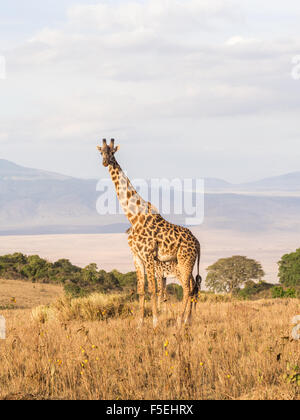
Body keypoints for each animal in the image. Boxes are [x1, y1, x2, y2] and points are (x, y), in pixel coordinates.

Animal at [98, 139, 202, 328]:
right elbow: (141, 290)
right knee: (191, 288)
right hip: (184, 262)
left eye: (112, 152)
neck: (134, 217)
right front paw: (140, 323)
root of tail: (197, 243)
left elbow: (153, 290)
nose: (105, 162)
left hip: (185, 261)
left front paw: (155, 321)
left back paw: (180, 321)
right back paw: (187, 320)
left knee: (187, 289)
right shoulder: (136, 256)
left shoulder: (148, 255)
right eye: (101, 152)